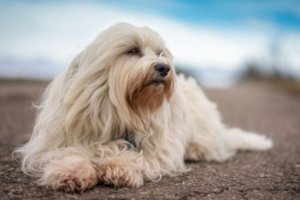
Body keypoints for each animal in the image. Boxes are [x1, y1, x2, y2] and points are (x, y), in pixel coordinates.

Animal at [15, 23, 274, 192]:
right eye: (133, 50)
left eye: (160, 53)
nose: (164, 67)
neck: (121, 111)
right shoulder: (61, 138)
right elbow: (67, 152)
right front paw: (70, 170)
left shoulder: (160, 149)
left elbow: (139, 157)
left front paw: (119, 166)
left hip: (204, 133)